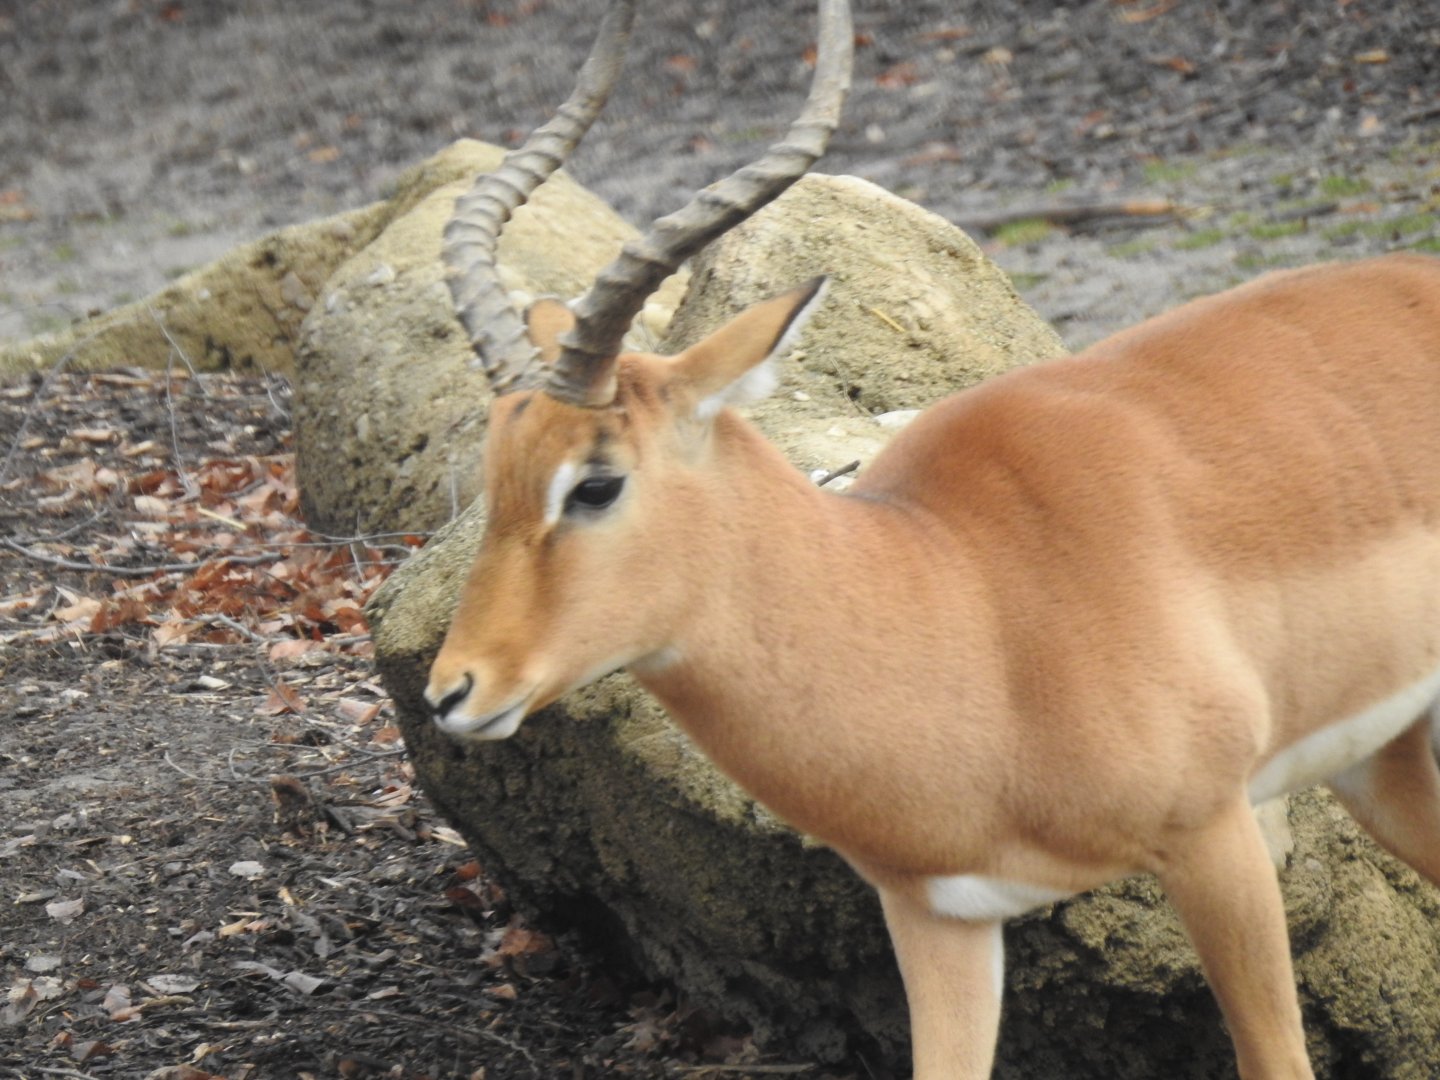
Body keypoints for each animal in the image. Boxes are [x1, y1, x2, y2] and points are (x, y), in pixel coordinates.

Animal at [423, 0, 1440, 1076]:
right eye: (494, 465)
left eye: (597, 482)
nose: (453, 691)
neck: (971, 605)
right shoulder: (939, 917)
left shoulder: (1216, 837)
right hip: (1384, 757)